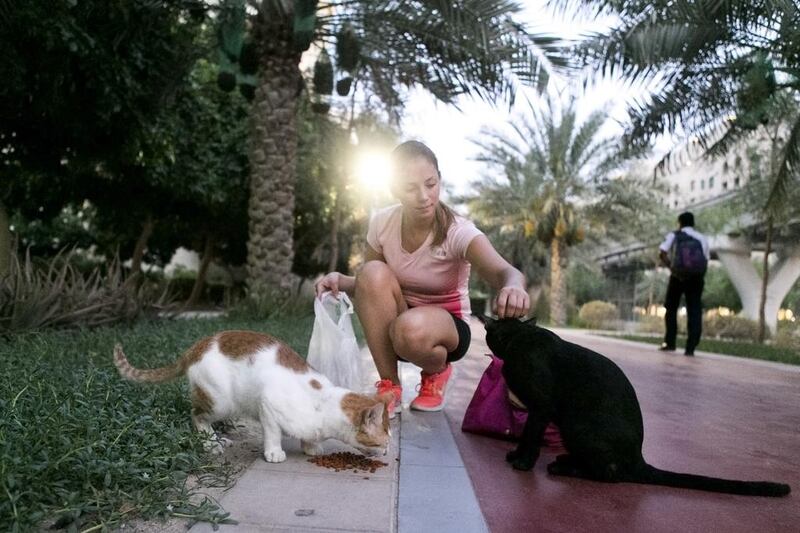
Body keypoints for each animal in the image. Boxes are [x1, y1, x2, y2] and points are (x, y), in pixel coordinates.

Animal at [113, 330, 390, 460]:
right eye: (384, 442)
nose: (388, 452)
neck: (323, 403)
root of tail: (197, 346)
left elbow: (309, 437)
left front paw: (311, 446)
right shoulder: (268, 405)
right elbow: (273, 433)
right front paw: (274, 452)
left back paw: (219, 439)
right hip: (222, 401)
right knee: (197, 415)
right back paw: (210, 443)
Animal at [478, 316, 792, 494]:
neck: (519, 338)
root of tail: (639, 458)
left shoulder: (540, 408)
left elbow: (530, 437)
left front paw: (522, 463)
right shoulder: (535, 410)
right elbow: (525, 436)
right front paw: (515, 455)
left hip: (577, 426)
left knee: (611, 475)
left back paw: (563, 468)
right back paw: (567, 461)